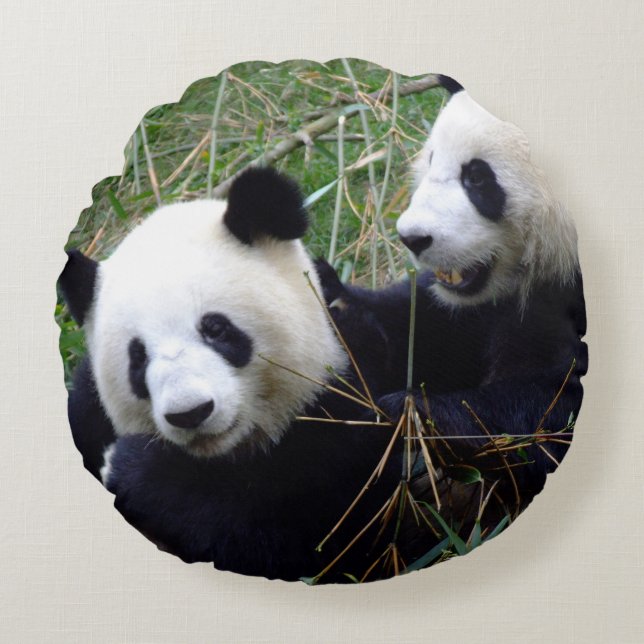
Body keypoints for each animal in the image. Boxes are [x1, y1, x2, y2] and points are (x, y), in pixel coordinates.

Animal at [59, 167, 399, 582]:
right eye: (137, 358)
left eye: (216, 329)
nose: (190, 413)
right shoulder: (86, 410)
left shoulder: (347, 411)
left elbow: (301, 533)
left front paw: (132, 469)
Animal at [317, 77, 588, 546]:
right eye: (430, 160)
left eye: (478, 177)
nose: (412, 238)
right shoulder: (469, 308)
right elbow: (425, 330)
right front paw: (339, 306)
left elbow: (549, 411)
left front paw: (415, 413)